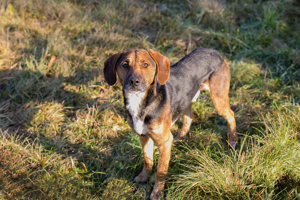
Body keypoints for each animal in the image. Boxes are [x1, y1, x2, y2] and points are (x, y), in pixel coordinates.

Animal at [104, 48, 238, 198]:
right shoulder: (143, 137)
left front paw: (157, 193)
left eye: (145, 64)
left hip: (218, 99)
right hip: (188, 98)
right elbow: (147, 160)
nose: (134, 81)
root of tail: (213, 51)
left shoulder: (164, 142)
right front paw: (143, 177)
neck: (140, 102)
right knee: (189, 116)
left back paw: (233, 140)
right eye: (125, 65)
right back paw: (181, 136)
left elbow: (160, 172)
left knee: (231, 115)